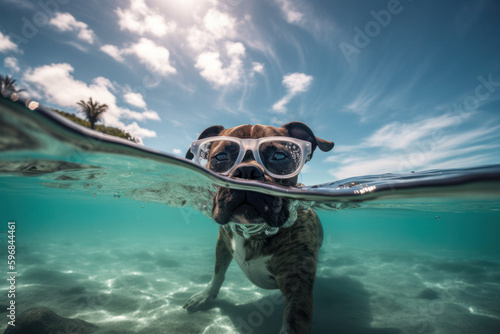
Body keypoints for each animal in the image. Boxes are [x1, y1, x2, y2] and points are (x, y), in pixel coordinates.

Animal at [182, 122, 334, 334]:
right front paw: (206, 296)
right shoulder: (223, 242)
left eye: (279, 156)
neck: (253, 231)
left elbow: (292, 323)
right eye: (220, 157)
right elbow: (218, 273)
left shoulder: (298, 290)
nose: (247, 171)